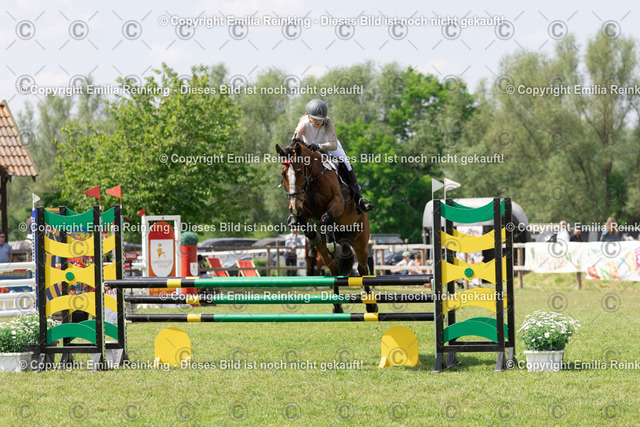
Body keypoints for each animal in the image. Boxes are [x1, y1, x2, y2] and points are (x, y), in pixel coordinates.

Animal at [276, 139, 377, 313]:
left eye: (300, 171)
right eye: (283, 174)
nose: (293, 207)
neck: (313, 179)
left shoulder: (337, 204)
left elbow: (325, 219)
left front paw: (332, 245)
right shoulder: (303, 208)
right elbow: (303, 222)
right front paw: (314, 236)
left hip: (361, 242)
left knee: (363, 269)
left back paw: (370, 304)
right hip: (323, 255)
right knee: (334, 271)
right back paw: (337, 306)